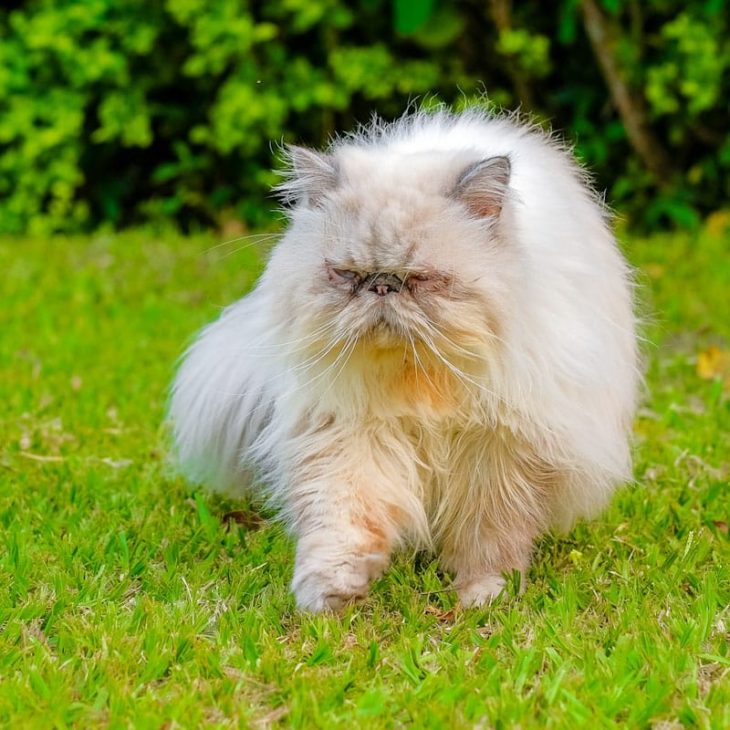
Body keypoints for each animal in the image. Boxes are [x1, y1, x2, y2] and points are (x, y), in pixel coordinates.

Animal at [168, 108, 636, 608]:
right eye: (347, 275)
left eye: (421, 279)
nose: (382, 286)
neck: (417, 377)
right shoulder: (347, 434)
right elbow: (344, 521)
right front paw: (331, 594)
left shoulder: (499, 451)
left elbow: (488, 537)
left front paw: (481, 596)